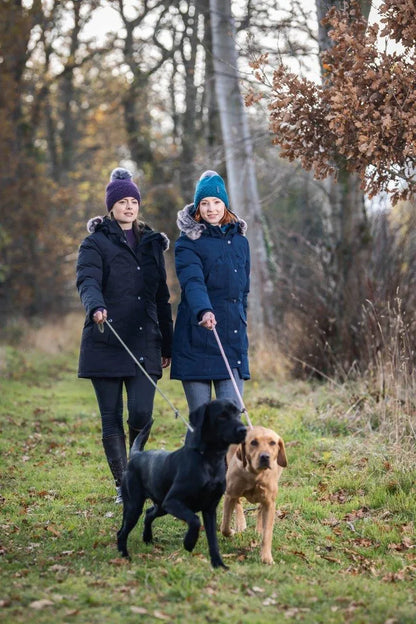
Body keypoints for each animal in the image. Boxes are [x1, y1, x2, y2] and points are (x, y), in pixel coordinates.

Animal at [117, 399, 247, 568]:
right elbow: (194, 520)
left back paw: (147, 538)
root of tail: (136, 455)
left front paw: (218, 564)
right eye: (222, 416)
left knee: (148, 514)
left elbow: (213, 541)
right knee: (122, 532)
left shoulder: (210, 509)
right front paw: (189, 543)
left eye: (238, 413)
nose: (244, 430)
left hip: (161, 506)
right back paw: (124, 556)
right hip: (136, 505)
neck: (209, 459)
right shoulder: (173, 501)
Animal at [220, 425, 287, 564]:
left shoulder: (270, 503)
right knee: (238, 503)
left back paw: (258, 530)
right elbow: (225, 526)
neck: (255, 475)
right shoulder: (229, 494)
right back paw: (240, 523)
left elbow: (267, 534)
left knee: (260, 509)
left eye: (272, 443)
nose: (265, 456)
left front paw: (266, 557)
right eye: (253, 442)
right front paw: (232, 531)